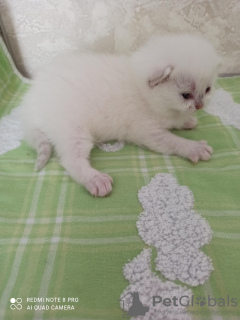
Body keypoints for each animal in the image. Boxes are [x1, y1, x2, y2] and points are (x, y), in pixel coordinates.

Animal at [20, 33, 221, 196]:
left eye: (207, 90)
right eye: (186, 95)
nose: (200, 105)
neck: (143, 92)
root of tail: (30, 104)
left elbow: (175, 121)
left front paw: (186, 121)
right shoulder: (146, 131)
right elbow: (172, 141)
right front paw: (193, 147)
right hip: (72, 128)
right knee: (72, 160)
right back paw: (94, 179)